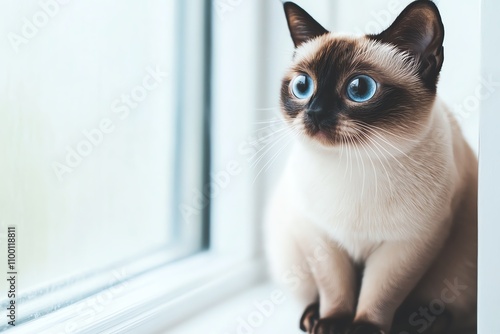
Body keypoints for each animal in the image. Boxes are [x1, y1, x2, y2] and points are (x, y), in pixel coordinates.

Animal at [266, 1, 476, 332]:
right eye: (303, 86)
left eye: (360, 88)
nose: (314, 112)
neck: (352, 164)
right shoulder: (320, 237)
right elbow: (335, 289)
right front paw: (332, 323)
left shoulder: (408, 244)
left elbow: (381, 294)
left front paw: (363, 327)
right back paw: (312, 317)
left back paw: (416, 321)